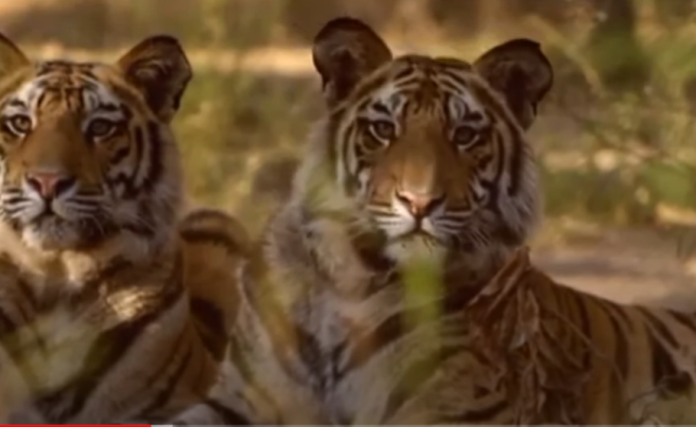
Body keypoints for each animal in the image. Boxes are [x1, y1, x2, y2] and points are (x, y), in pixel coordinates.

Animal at [163, 16, 559, 425]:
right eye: (383, 130)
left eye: (464, 135)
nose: (419, 202)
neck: (349, 286)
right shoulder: (238, 398)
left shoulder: (455, 406)